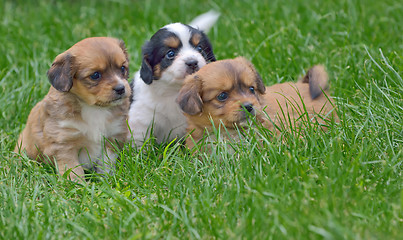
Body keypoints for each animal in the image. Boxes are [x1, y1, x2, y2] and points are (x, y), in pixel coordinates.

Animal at [13, 37, 131, 180]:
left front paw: (107, 179)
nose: (121, 88)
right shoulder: (64, 144)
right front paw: (79, 184)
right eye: (95, 75)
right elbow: (73, 170)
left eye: (123, 68)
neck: (94, 108)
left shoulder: (112, 137)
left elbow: (106, 164)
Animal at [129, 10, 219, 146]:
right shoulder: (141, 120)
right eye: (170, 53)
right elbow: (141, 144)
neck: (175, 91)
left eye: (199, 48)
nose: (192, 63)